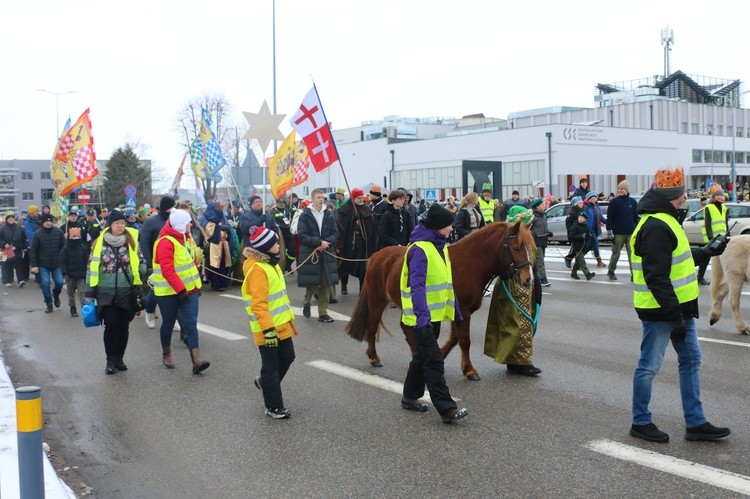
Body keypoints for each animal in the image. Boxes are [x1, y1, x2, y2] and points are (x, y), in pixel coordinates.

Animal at [346, 221, 536, 380]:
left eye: (529, 248)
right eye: (516, 248)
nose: (528, 279)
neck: (470, 262)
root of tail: (376, 255)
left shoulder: (458, 312)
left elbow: (455, 339)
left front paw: (442, 356)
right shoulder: (464, 311)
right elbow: (464, 341)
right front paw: (469, 370)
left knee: (405, 327)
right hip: (377, 299)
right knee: (372, 325)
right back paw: (374, 357)